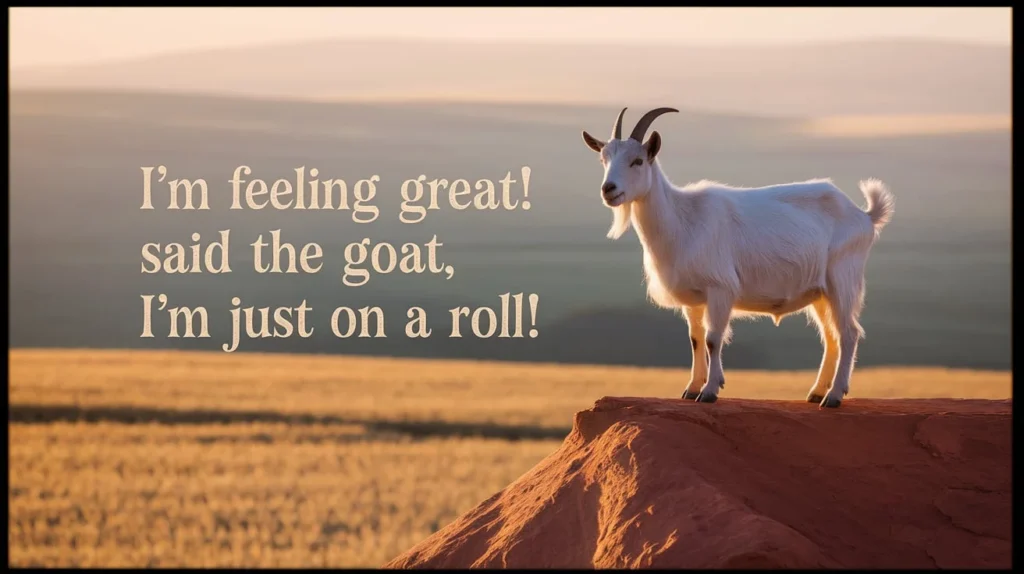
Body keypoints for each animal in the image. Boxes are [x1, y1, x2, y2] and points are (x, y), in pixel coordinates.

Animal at [581, 107, 895, 408]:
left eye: (637, 161)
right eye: (604, 159)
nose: (608, 189)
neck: (682, 219)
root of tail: (864, 215)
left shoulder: (720, 288)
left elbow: (713, 339)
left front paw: (709, 391)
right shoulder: (694, 299)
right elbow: (695, 339)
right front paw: (691, 389)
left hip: (842, 280)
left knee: (849, 334)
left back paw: (834, 397)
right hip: (820, 292)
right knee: (831, 336)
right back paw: (816, 393)